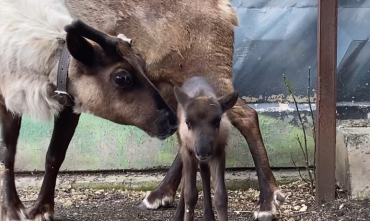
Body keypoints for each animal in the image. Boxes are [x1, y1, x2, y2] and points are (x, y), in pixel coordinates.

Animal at [173, 76, 238, 221]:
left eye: (217, 120)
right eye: (188, 122)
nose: (203, 150)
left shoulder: (218, 152)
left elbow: (220, 196)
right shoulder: (188, 151)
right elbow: (190, 194)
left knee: (204, 173)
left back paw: (208, 215)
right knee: (185, 178)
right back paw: (178, 215)